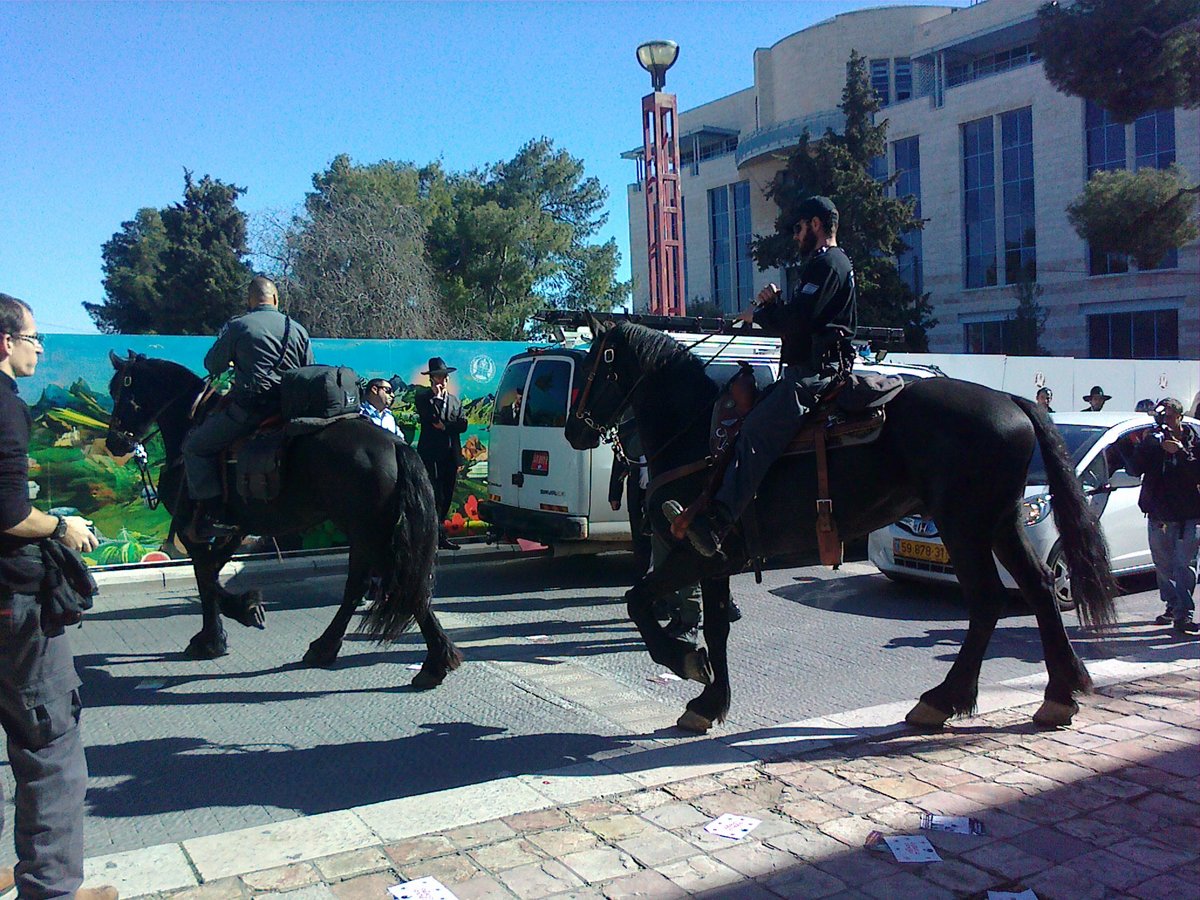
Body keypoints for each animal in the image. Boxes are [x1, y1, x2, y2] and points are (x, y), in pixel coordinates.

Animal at [105, 352, 460, 691]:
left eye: (120, 389)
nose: (115, 442)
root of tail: (395, 444)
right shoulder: (233, 530)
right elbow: (211, 572)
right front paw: (223, 627)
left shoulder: (191, 528)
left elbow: (205, 577)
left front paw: (230, 621)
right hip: (365, 531)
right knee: (369, 587)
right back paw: (331, 648)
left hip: (371, 532)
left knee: (397, 586)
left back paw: (430, 663)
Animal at [566, 321, 1118, 734]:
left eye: (593, 366)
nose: (573, 431)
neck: (700, 436)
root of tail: (1013, 400)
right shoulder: (718, 561)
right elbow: (717, 625)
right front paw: (710, 700)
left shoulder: (696, 550)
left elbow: (639, 600)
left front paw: (683, 660)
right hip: (1000, 522)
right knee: (1040, 588)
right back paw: (1059, 692)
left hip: (963, 526)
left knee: (987, 601)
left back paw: (943, 699)